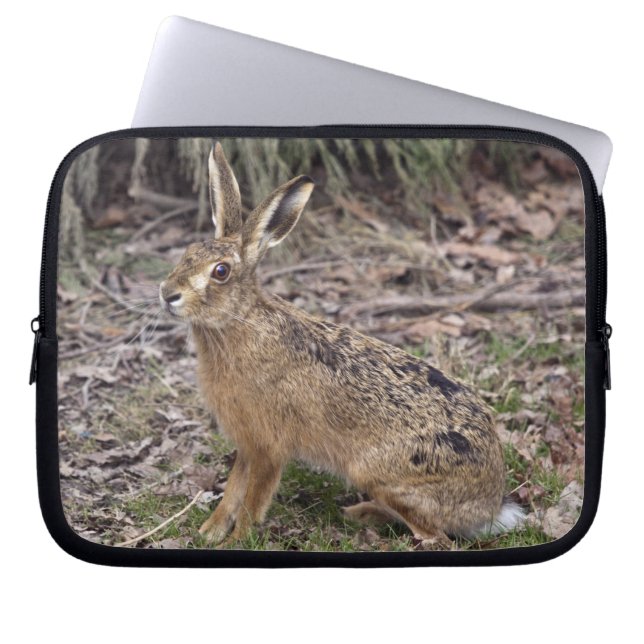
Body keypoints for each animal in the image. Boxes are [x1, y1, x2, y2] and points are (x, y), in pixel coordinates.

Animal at [159, 141, 524, 548]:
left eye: (221, 272)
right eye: (188, 252)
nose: (167, 293)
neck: (239, 321)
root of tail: (488, 505)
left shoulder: (269, 446)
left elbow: (254, 497)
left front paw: (237, 540)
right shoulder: (247, 443)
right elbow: (234, 487)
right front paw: (210, 531)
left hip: (379, 472)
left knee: (436, 536)